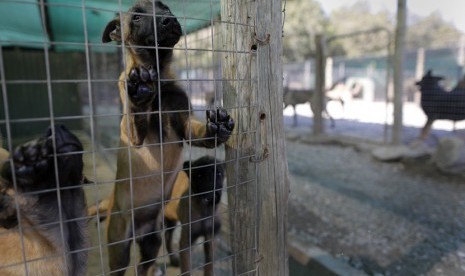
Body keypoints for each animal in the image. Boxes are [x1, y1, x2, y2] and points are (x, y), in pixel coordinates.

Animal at [100, 1, 234, 274]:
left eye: (165, 7)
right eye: (136, 16)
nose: (169, 20)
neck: (160, 78)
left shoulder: (184, 124)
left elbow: (199, 133)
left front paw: (217, 127)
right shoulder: (134, 136)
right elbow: (136, 117)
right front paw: (140, 90)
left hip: (152, 243)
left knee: (144, 265)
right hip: (119, 250)